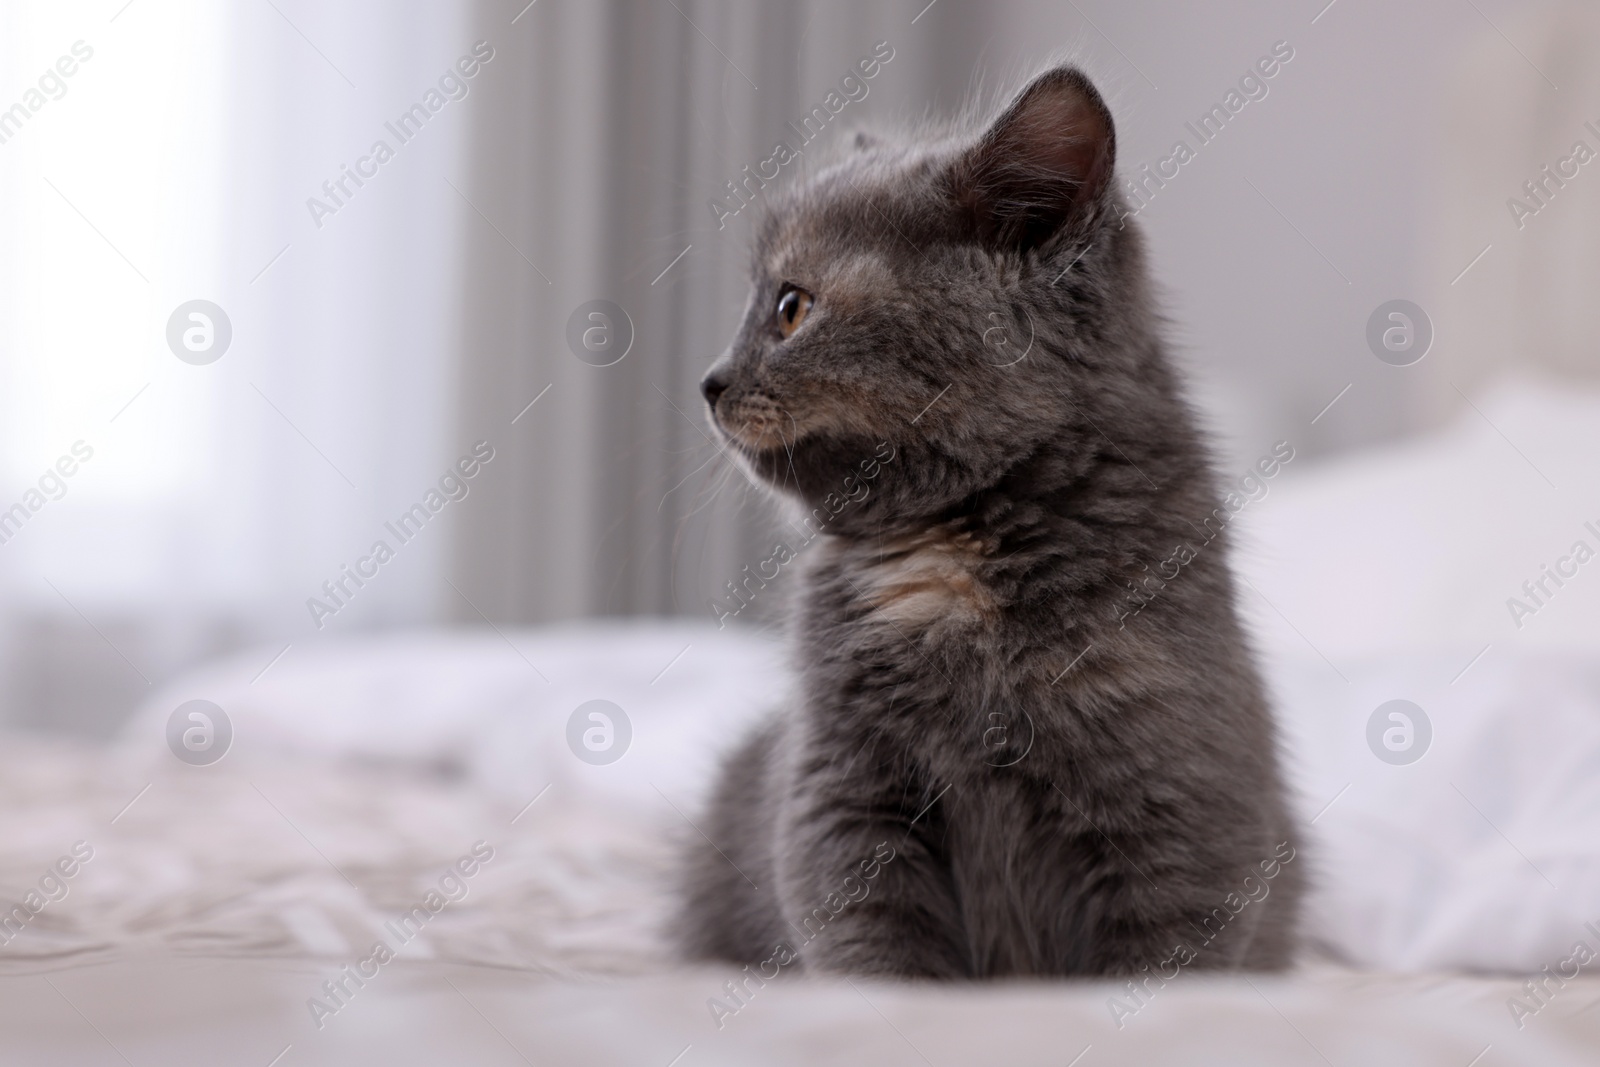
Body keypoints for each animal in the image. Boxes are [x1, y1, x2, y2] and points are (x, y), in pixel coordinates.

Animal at [675, 66, 1299, 985]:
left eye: (789, 307)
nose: (710, 381)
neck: (954, 560)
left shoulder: (1185, 814)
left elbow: (1163, 959)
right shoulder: (840, 787)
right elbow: (871, 939)